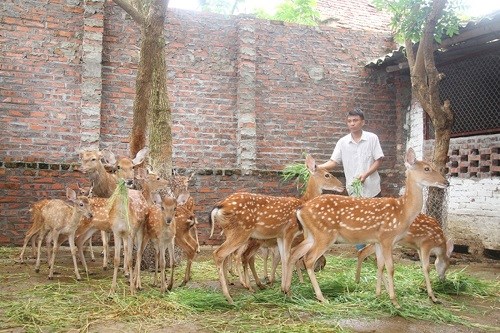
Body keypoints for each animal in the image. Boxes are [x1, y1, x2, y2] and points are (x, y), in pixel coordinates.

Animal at [208, 155, 344, 304]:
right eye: (327, 175)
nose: (341, 186)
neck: (303, 201)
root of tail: (219, 207)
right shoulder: (289, 230)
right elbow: (287, 257)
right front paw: (287, 290)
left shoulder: (280, 235)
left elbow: (283, 258)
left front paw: (282, 289)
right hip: (242, 231)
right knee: (221, 254)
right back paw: (230, 296)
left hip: (231, 233)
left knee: (230, 256)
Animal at [286, 147, 450, 308]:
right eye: (427, 168)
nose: (446, 182)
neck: (403, 212)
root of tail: (301, 209)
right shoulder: (387, 238)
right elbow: (391, 268)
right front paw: (395, 301)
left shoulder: (378, 241)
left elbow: (380, 266)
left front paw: (378, 295)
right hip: (324, 234)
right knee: (308, 259)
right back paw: (320, 297)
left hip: (311, 235)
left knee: (295, 253)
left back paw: (287, 290)